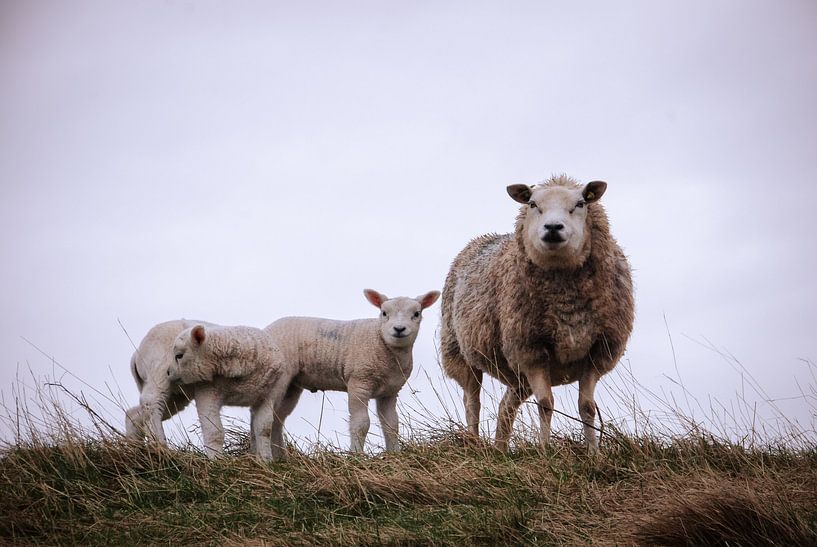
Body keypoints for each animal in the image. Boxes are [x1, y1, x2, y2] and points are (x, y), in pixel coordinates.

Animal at [167, 326, 298, 462]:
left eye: (179, 356)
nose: (168, 372)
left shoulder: (267, 396)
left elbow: (264, 429)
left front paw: (265, 460)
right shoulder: (207, 391)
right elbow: (214, 431)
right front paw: (216, 460)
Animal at [264, 288, 436, 456]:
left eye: (416, 314)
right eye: (384, 313)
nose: (399, 329)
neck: (380, 341)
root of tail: (267, 329)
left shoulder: (390, 392)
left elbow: (391, 425)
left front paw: (394, 454)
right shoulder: (359, 383)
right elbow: (361, 424)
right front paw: (356, 455)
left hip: (292, 386)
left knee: (278, 418)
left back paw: (280, 457)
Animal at [440, 177, 636, 454]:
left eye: (581, 203)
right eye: (533, 204)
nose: (553, 227)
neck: (566, 301)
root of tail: (479, 240)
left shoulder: (597, 352)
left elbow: (587, 407)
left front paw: (594, 453)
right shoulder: (531, 350)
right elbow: (546, 404)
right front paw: (545, 451)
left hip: (518, 375)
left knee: (505, 406)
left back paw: (500, 450)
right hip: (460, 353)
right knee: (472, 402)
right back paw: (474, 443)